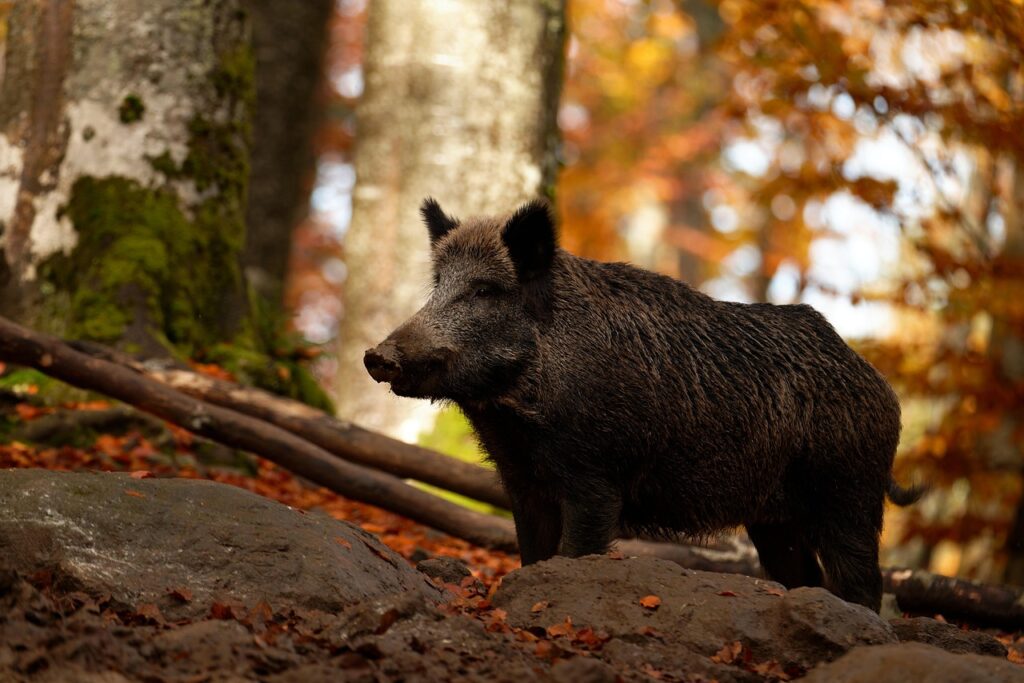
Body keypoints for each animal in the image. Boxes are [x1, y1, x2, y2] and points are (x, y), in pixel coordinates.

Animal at [364, 198, 922, 612]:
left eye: (484, 290)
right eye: (438, 285)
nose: (376, 356)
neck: (516, 416)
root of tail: (879, 384)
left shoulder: (596, 477)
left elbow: (574, 552)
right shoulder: (522, 483)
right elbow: (533, 554)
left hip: (848, 492)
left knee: (862, 581)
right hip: (774, 517)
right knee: (803, 575)